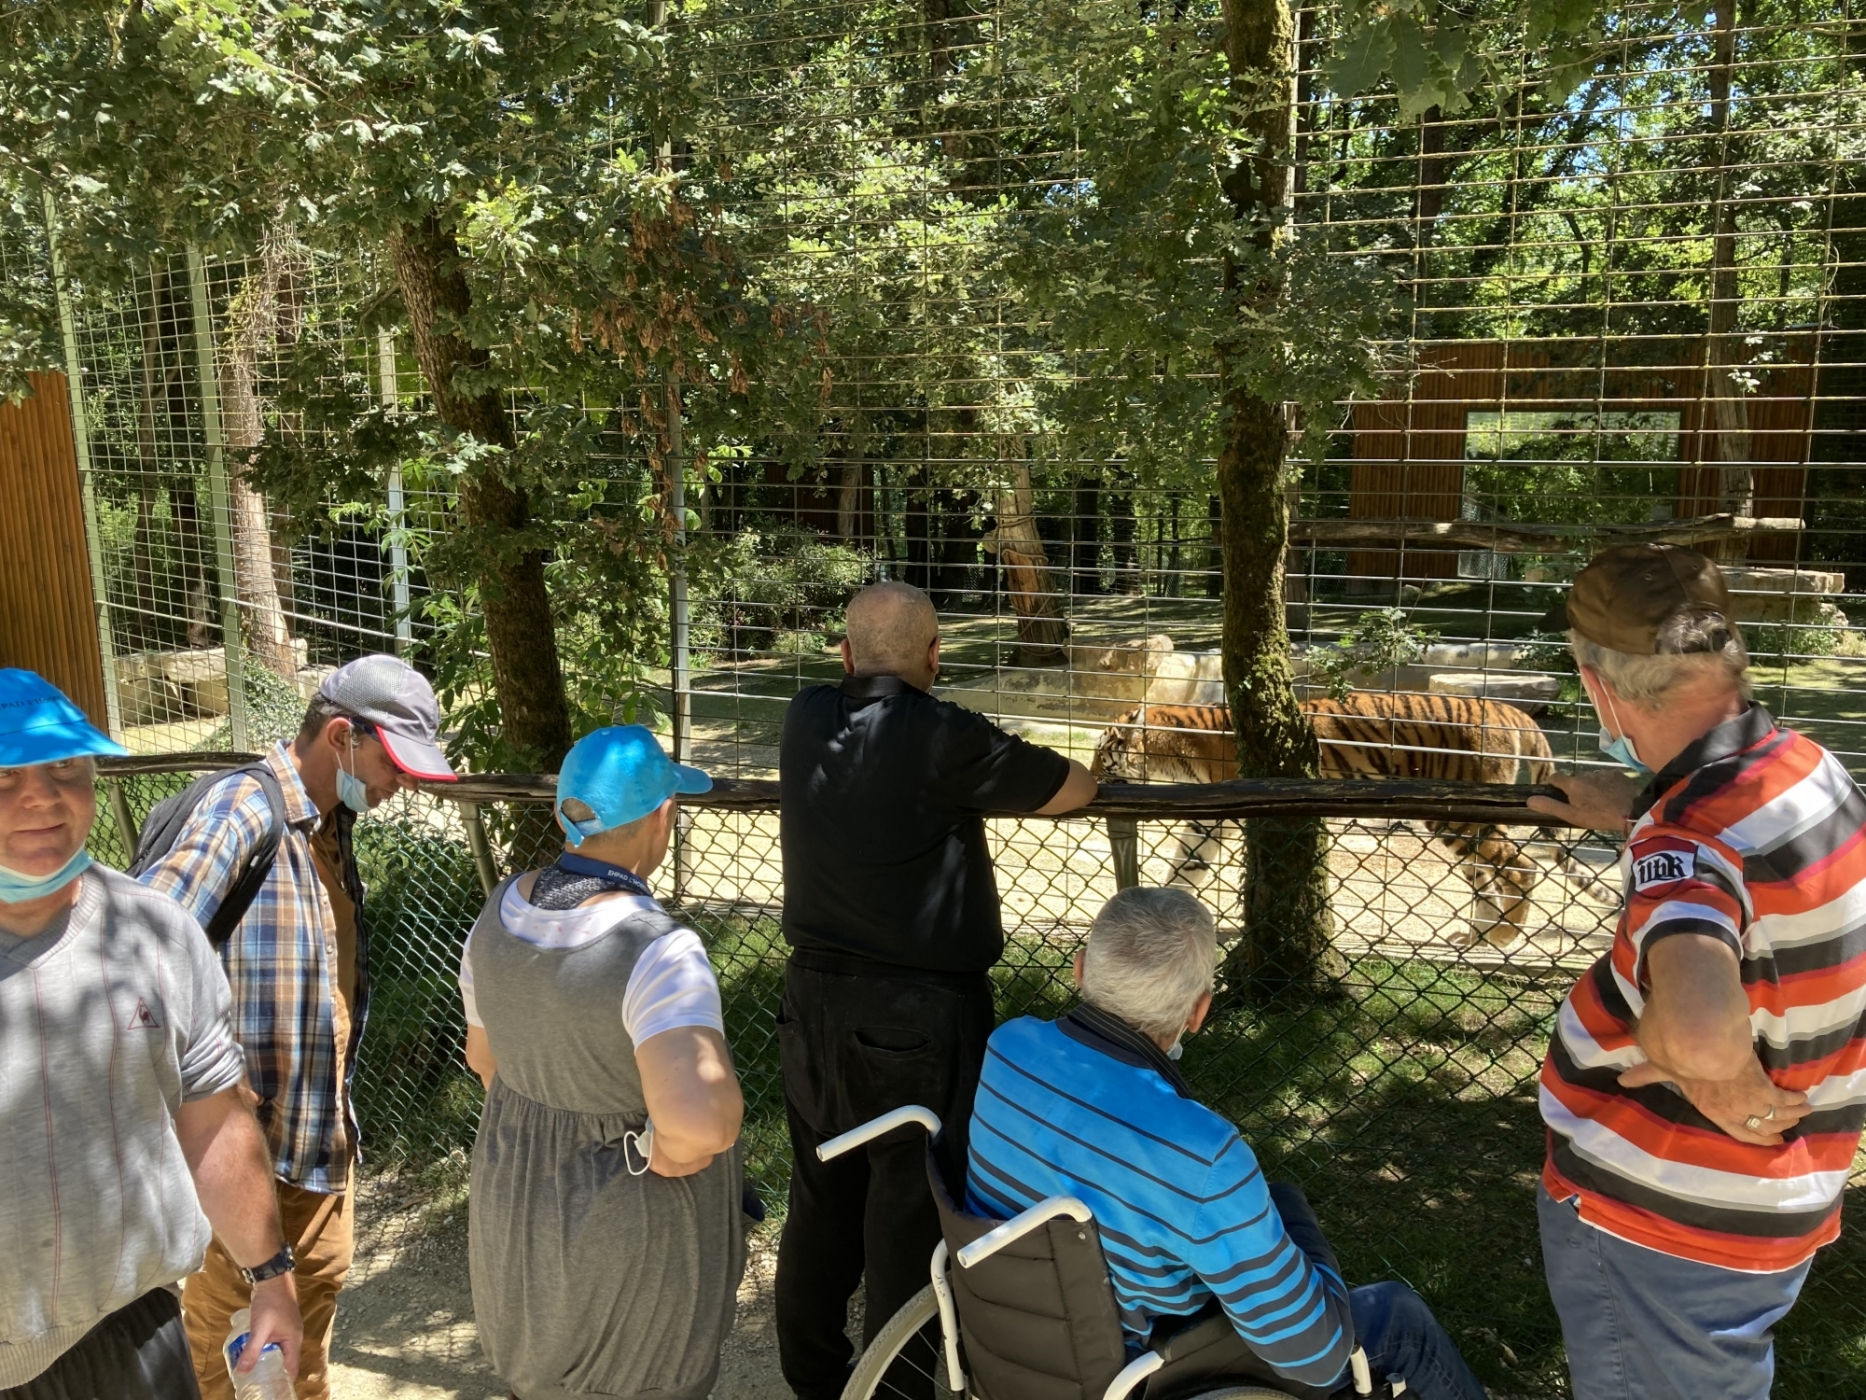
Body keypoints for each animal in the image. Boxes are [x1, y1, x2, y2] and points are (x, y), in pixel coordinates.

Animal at [1089, 694, 1612, 955]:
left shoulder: (1232, 808)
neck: (1174, 751)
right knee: (1486, 877)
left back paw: (1503, 938)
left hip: (1463, 815)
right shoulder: (1207, 820)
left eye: (1103, 750)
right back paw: (1477, 938)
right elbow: (1185, 869)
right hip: (1452, 822)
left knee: (1521, 866)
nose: (1091, 776)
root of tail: (1515, 710)